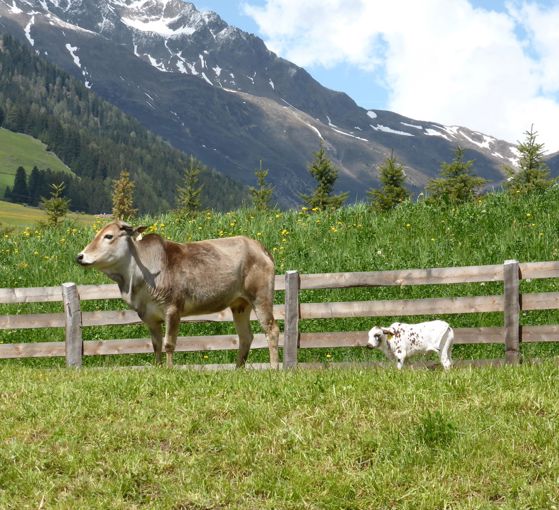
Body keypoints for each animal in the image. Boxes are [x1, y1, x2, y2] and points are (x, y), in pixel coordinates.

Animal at [77, 221, 278, 368]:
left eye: (108, 236)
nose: (80, 256)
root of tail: (259, 247)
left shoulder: (173, 310)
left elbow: (169, 344)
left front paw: (169, 369)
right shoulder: (148, 316)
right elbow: (156, 345)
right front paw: (158, 369)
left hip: (260, 297)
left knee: (272, 329)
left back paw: (274, 368)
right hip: (239, 305)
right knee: (245, 337)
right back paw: (238, 369)